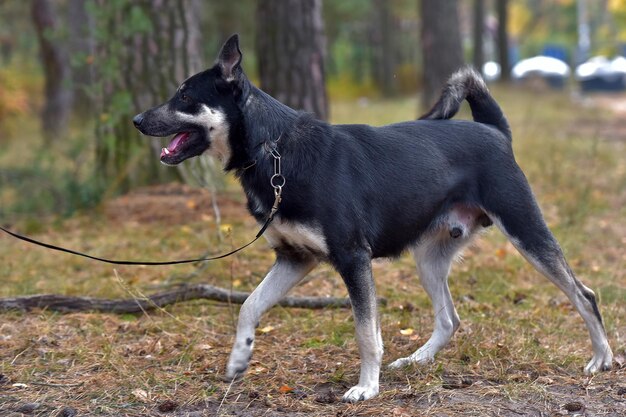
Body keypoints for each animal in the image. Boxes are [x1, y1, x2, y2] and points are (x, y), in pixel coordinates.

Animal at [133, 35, 608, 400]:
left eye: (185, 96)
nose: (136, 120)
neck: (275, 149)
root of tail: (495, 131)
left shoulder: (352, 259)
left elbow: (366, 333)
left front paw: (366, 388)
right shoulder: (294, 258)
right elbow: (249, 306)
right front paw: (239, 358)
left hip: (526, 230)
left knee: (584, 295)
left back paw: (601, 357)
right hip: (430, 257)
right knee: (449, 319)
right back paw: (416, 359)